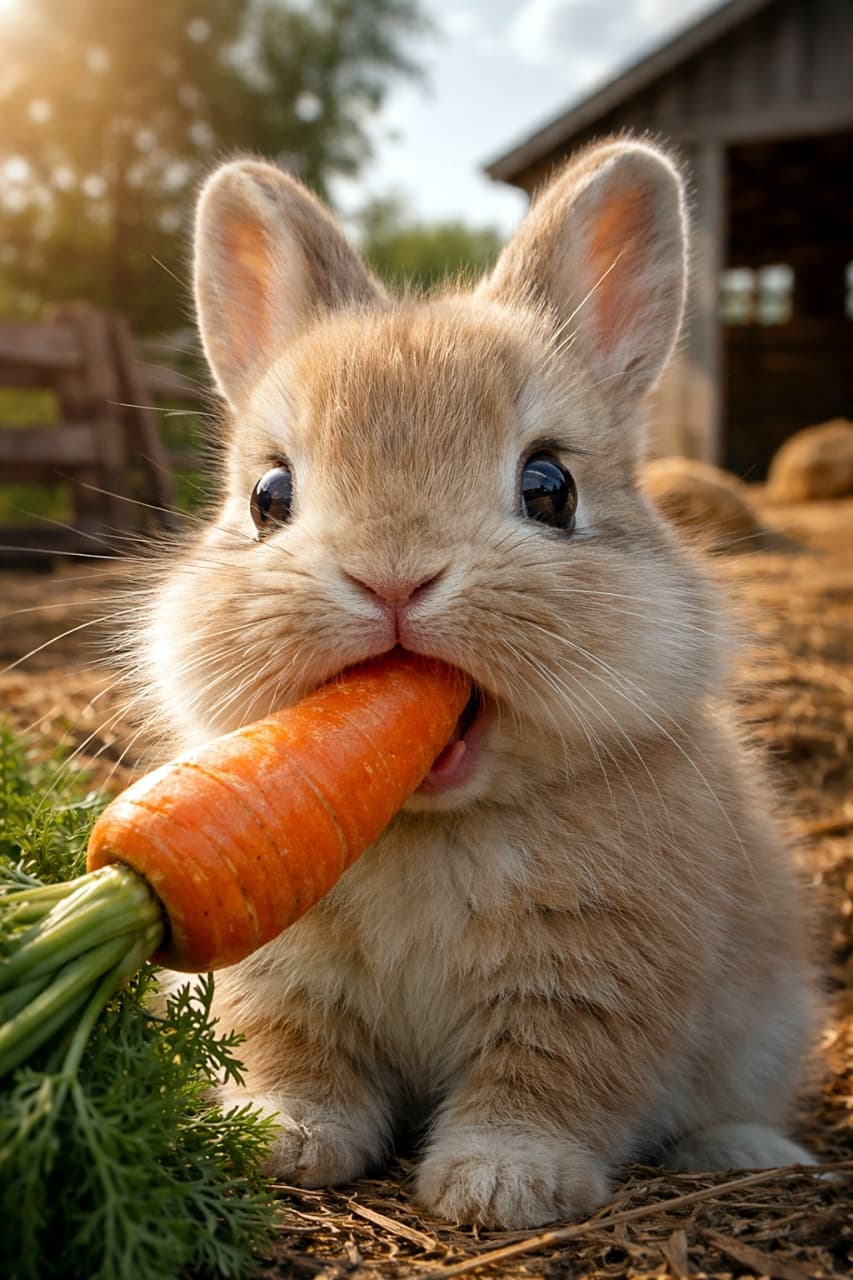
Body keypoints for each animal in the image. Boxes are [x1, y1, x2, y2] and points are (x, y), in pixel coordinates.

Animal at [136, 137, 816, 1229]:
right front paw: (276, 1138)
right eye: (268, 497)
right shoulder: (278, 977)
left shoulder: (591, 990)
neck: (426, 820)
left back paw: (748, 1150)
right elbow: (293, 1053)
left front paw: (498, 1186)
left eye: (550, 489)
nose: (393, 575)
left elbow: (542, 1084)